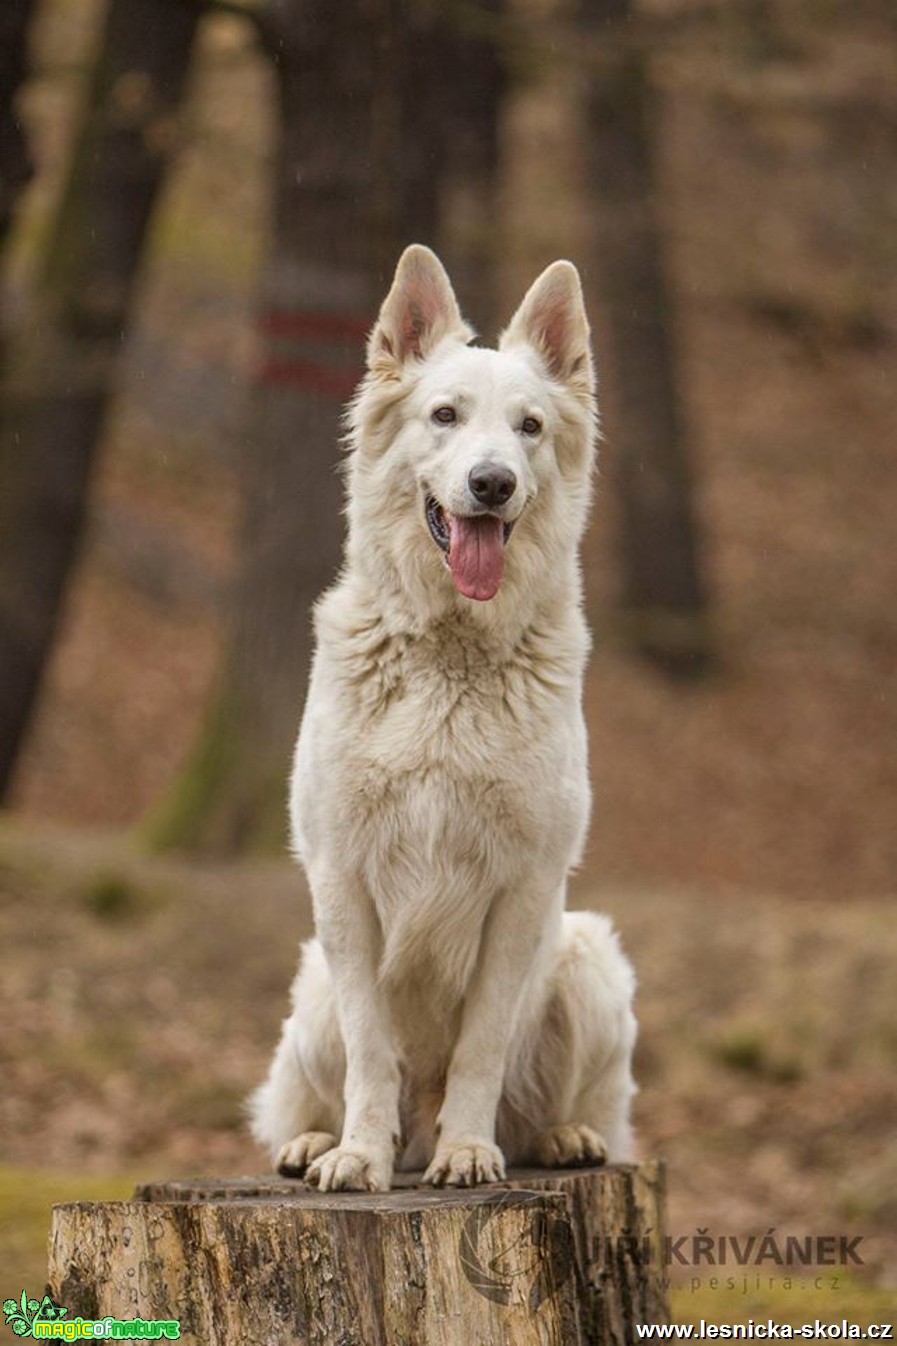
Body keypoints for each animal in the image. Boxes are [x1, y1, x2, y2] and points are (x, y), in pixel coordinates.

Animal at [247, 247, 633, 1195]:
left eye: (529, 428)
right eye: (444, 416)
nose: (491, 483)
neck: (448, 656)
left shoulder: (522, 892)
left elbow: (480, 1046)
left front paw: (465, 1150)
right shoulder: (343, 886)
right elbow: (371, 1050)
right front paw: (358, 1154)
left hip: (589, 961)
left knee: (557, 1111)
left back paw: (555, 1139)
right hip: (311, 992)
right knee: (315, 1090)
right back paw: (316, 1142)